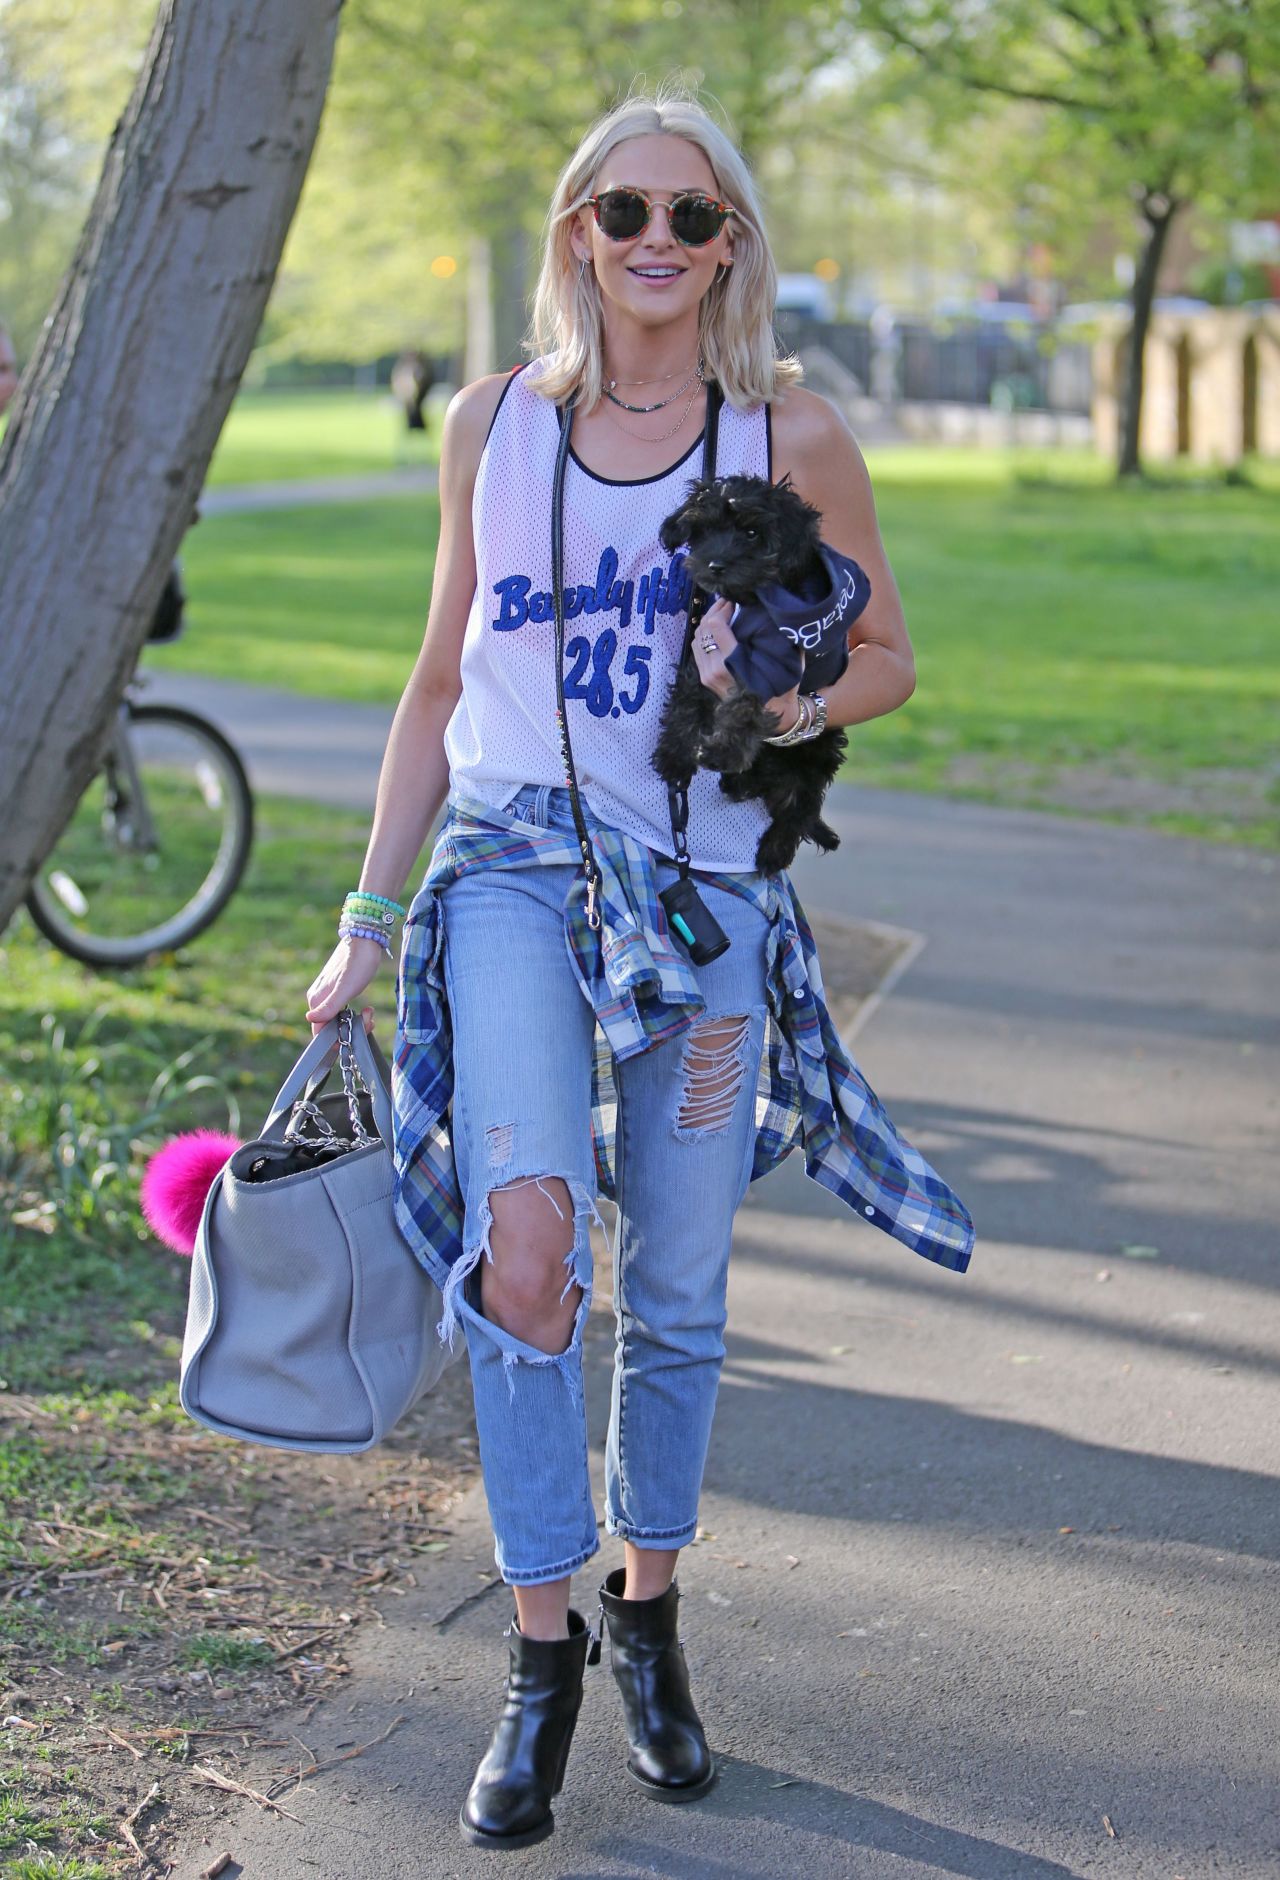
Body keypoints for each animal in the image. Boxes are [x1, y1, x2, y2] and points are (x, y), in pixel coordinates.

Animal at [651, 472, 871, 875]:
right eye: (704, 530)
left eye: (752, 533)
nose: (715, 564)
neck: (751, 599)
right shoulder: (705, 655)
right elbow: (687, 703)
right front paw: (674, 755)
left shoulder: (770, 666)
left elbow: (744, 708)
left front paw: (721, 751)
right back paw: (738, 783)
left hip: (819, 752)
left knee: (799, 805)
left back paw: (775, 850)